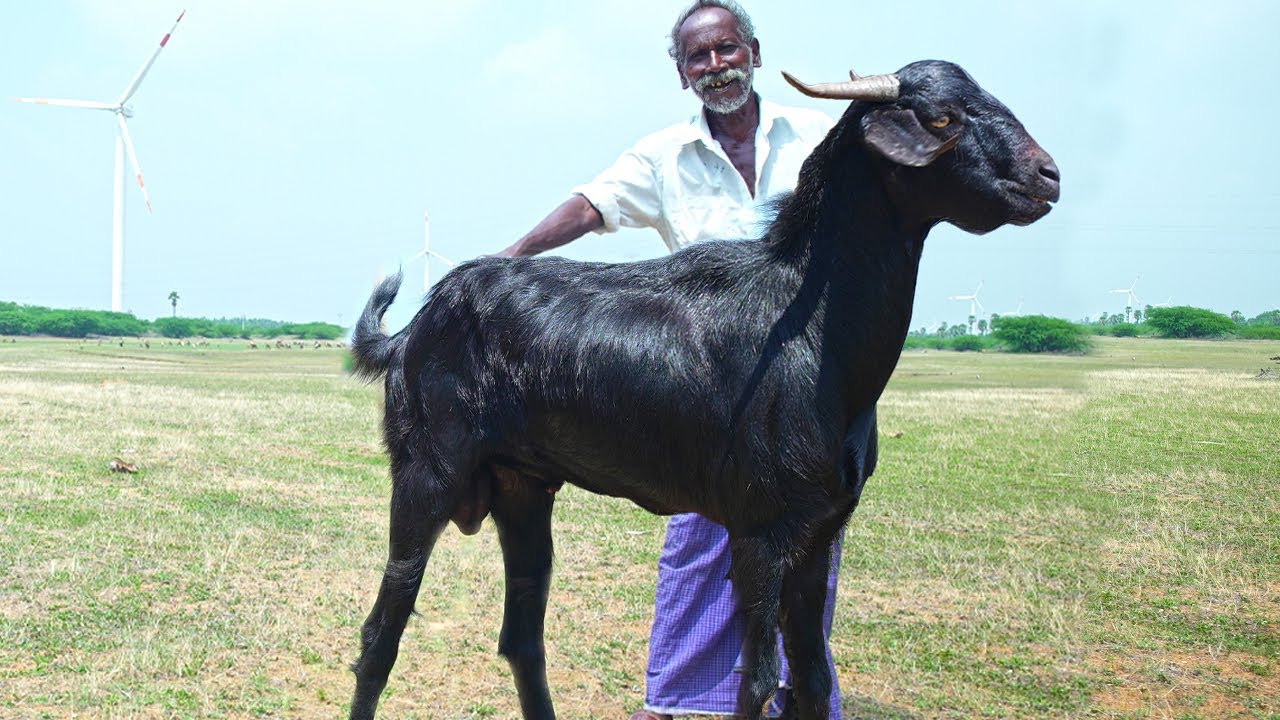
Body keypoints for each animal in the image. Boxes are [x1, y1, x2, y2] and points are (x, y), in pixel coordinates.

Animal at [347, 60, 1060, 720]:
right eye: (941, 117)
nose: (1048, 175)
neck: (812, 330)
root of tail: (412, 329)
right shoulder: (759, 532)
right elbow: (757, 680)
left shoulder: (819, 533)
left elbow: (811, 677)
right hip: (425, 474)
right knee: (381, 633)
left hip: (523, 488)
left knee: (522, 637)